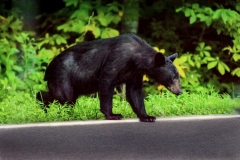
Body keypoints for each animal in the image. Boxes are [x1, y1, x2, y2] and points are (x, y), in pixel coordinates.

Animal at [36, 33, 181, 122]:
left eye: (177, 76)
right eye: (174, 77)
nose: (180, 91)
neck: (137, 59)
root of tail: (48, 69)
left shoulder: (135, 73)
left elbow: (134, 92)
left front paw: (148, 116)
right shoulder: (116, 60)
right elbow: (106, 82)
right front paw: (113, 115)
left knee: (69, 99)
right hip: (63, 76)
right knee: (63, 96)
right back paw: (42, 103)